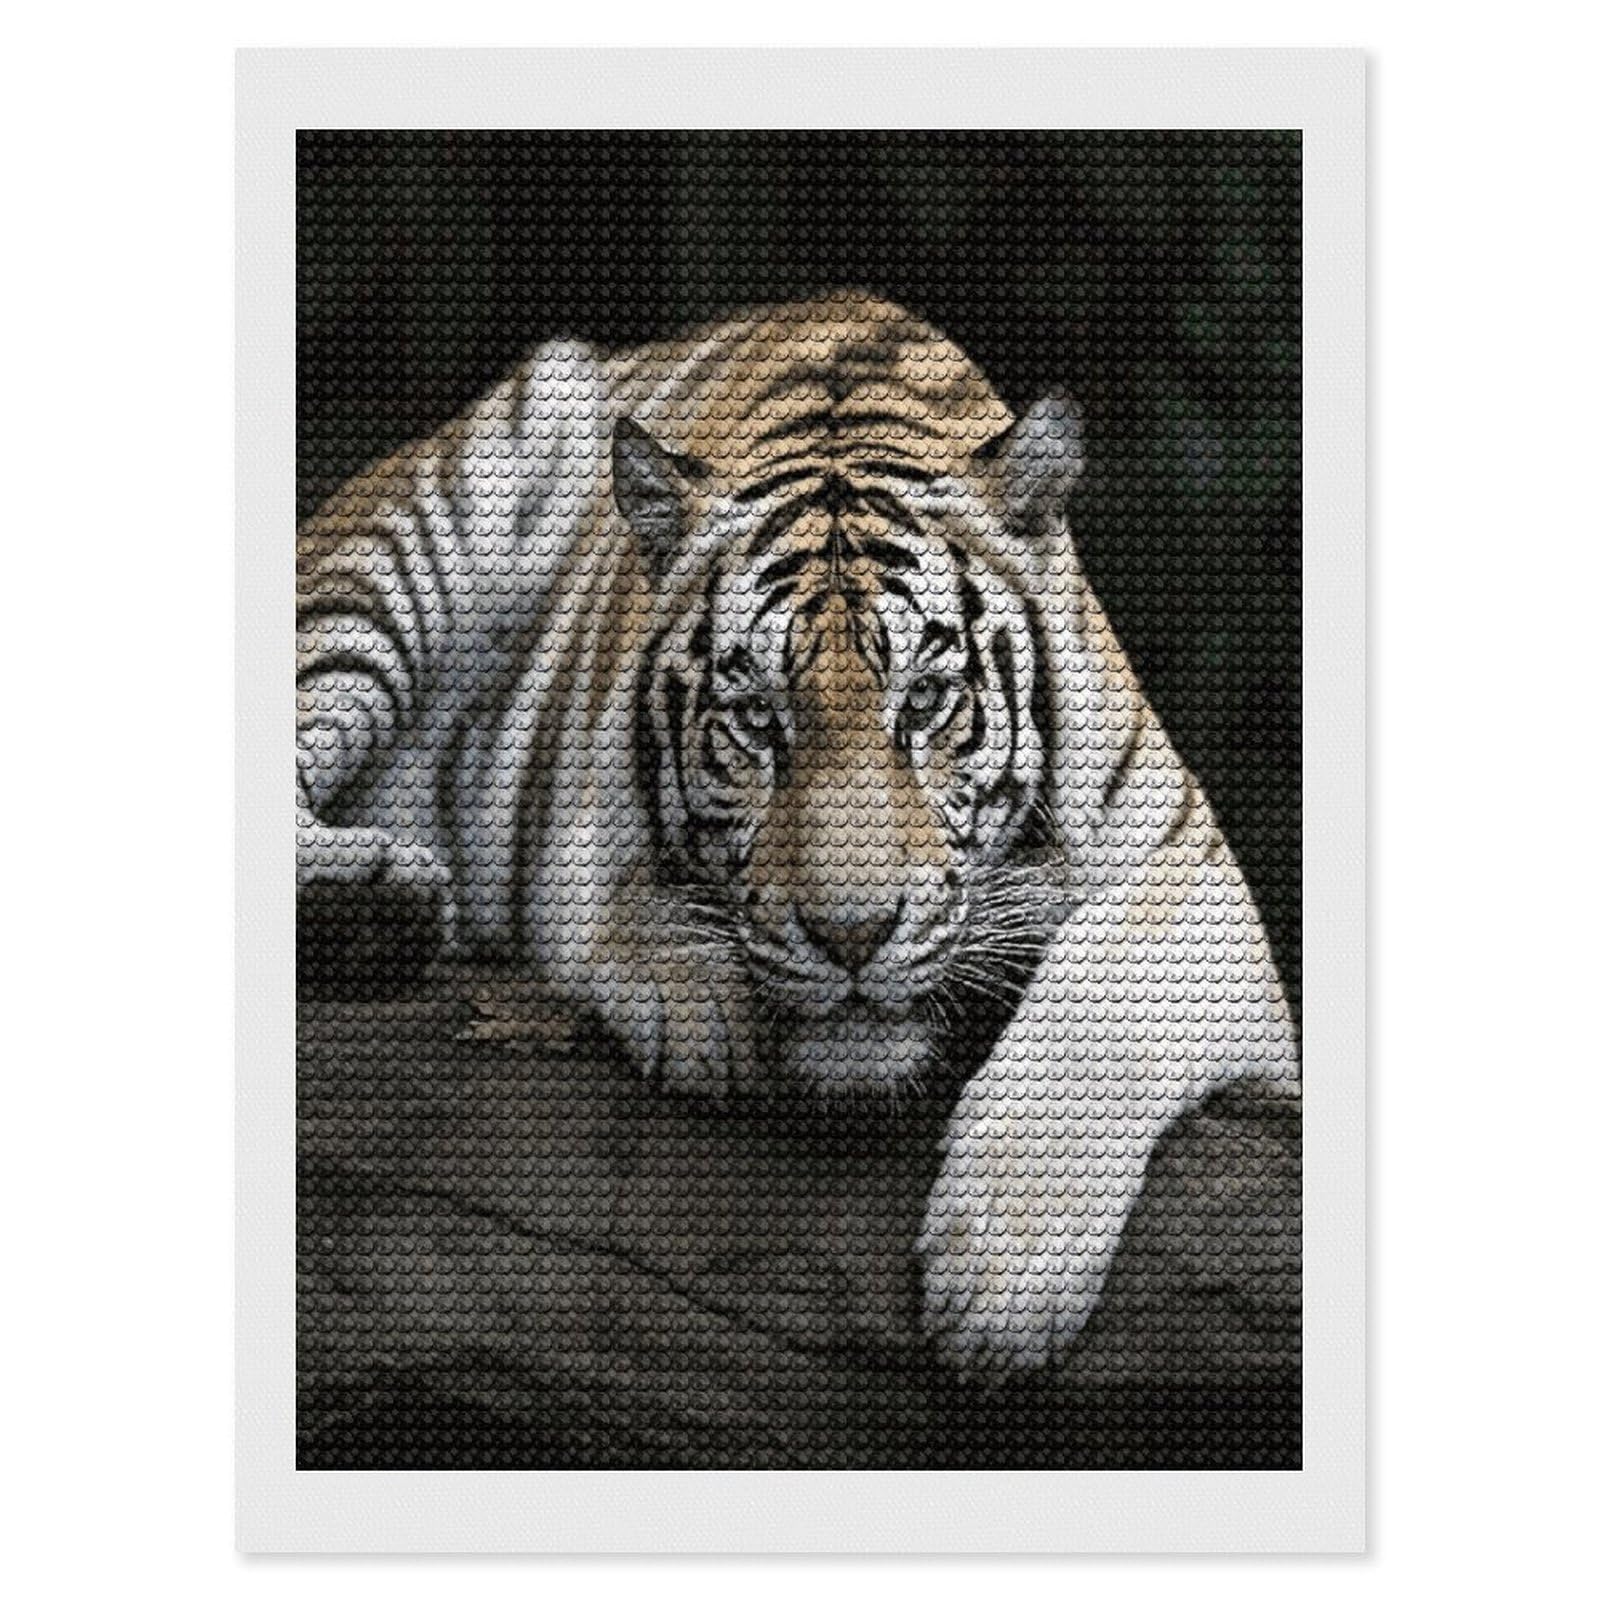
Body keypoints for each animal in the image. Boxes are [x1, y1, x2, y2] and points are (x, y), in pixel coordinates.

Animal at [297, 292, 1299, 1369]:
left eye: (926, 701)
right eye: (757, 719)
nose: (851, 938)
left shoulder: (1194, 876)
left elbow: (1106, 991)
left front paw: (1003, 1276)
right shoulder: (585, 799)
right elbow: (603, 894)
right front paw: (694, 992)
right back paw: (367, 902)